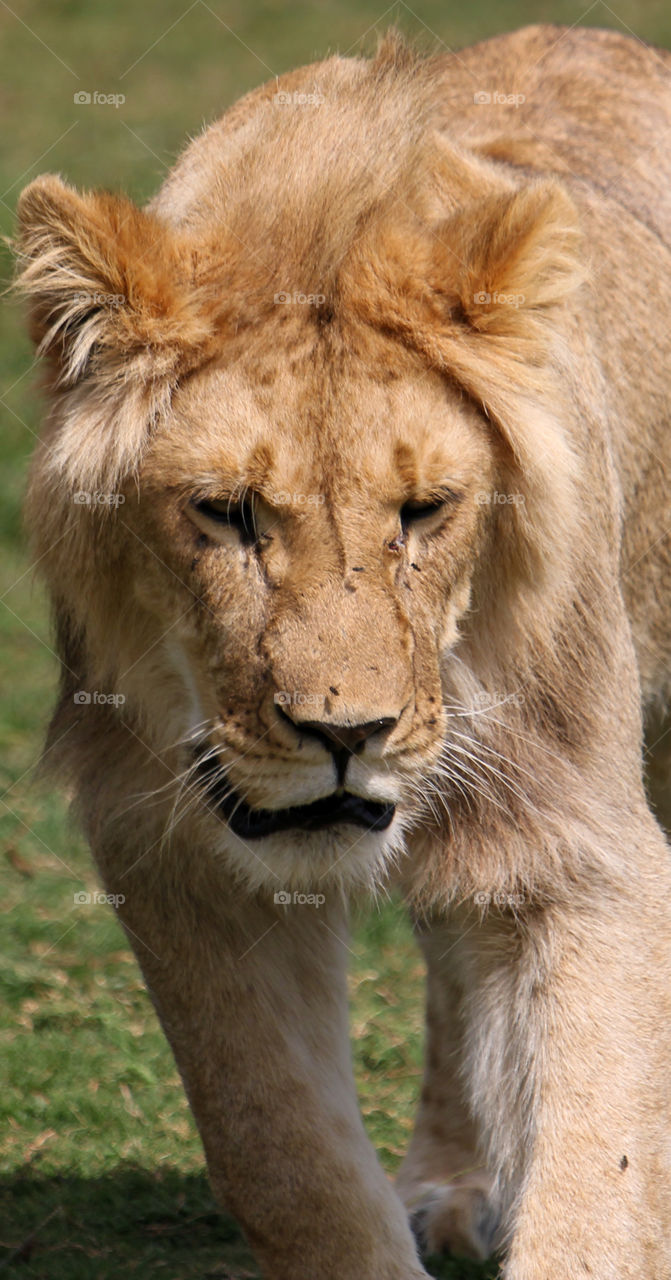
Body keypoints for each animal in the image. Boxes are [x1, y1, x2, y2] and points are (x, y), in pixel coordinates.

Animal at [13, 22, 671, 1279]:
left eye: (423, 510)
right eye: (224, 512)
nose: (343, 733)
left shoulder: (577, 829)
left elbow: (597, 1172)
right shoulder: (169, 847)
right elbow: (281, 1154)